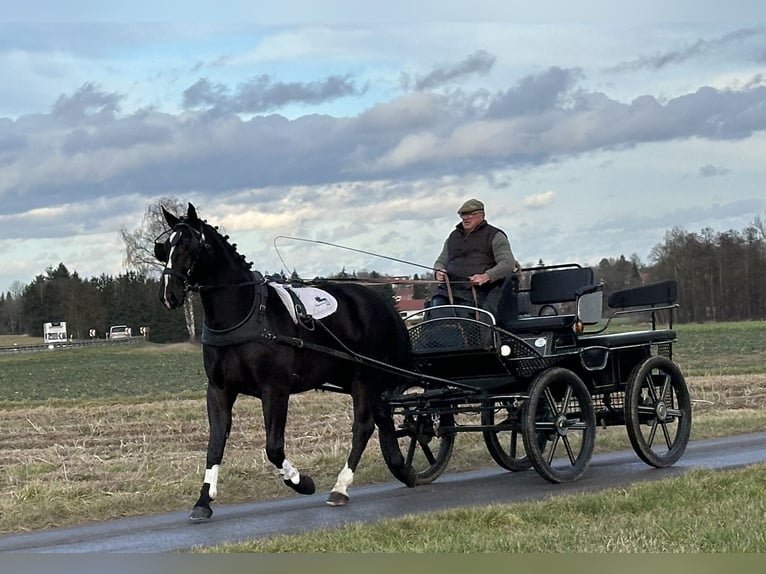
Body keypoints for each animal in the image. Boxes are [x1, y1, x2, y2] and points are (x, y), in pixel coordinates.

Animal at [155, 204, 416, 520]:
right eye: (164, 248)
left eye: (189, 245)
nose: (169, 294)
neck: (246, 313)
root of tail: (381, 302)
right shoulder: (219, 390)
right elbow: (215, 445)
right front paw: (203, 500)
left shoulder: (275, 390)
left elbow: (274, 448)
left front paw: (301, 481)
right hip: (358, 377)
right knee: (383, 418)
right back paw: (403, 470)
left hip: (364, 377)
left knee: (363, 427)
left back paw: (341, 487)